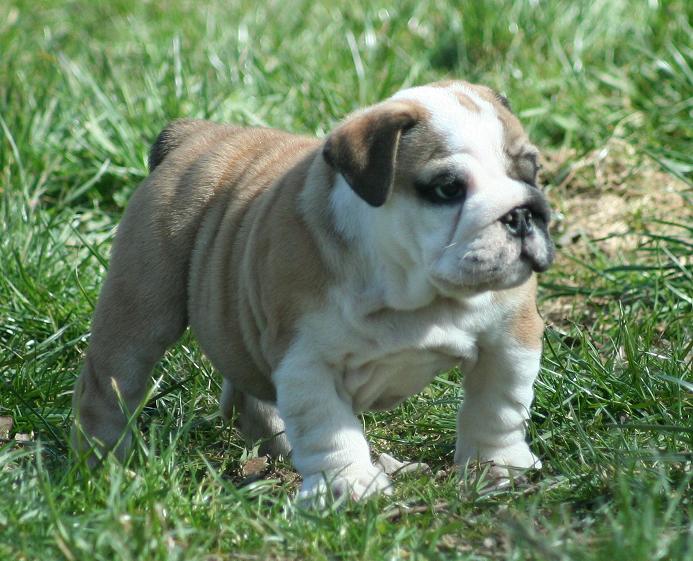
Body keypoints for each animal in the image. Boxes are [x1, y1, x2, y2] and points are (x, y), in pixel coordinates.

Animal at [73, 77, 556, 498]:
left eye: (532, 172)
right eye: (448, 189)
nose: (521, 214)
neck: (409, 287)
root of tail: (194, 135)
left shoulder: (510, 338)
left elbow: (497, 408)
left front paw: (498, 468)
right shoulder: (307, 363)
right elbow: (330, 431)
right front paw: (349, 489)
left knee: (250, 399)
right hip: (141, 307)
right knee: (109, 386)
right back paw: (105, 470)